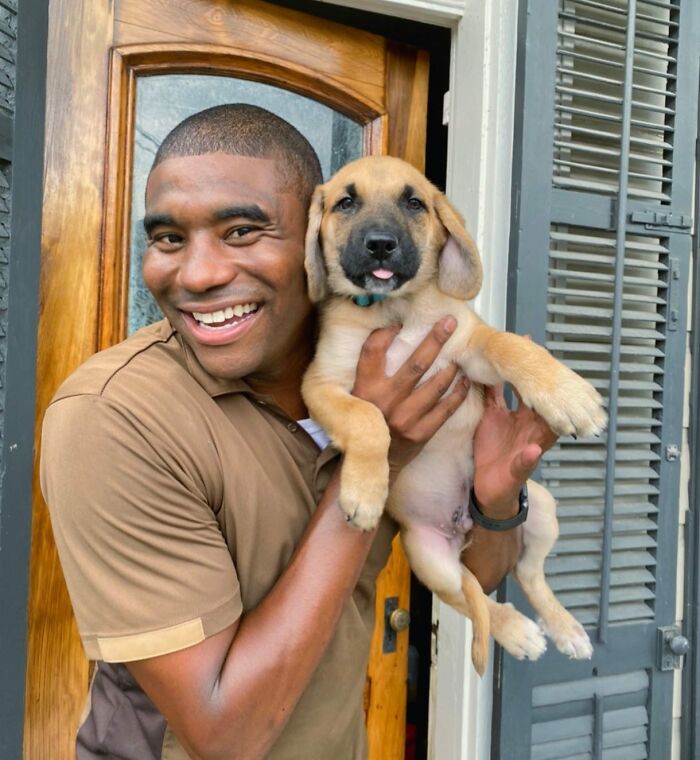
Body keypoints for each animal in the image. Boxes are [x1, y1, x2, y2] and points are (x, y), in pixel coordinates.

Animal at [300, 156, 608, 676]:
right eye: (345, 202)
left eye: (414, 203)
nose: (380, 244)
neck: (397, 311)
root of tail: (463, 528)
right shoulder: (322, 384)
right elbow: (367, 418)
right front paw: (365, 491)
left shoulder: (470, 346)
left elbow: (510, 346)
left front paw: (565, 392)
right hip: (429, 558)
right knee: (472, 597)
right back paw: (517, 631)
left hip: (541, 508)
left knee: (527, 574)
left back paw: (564, 629)